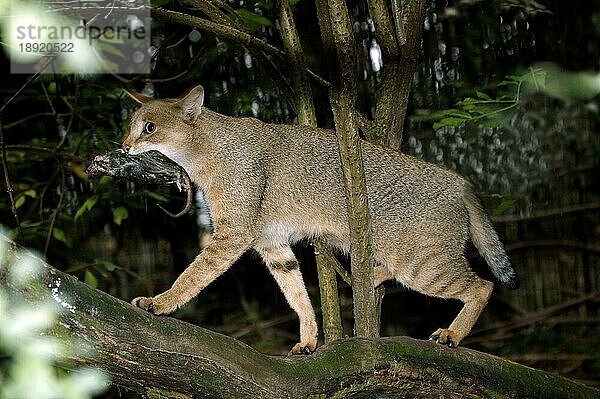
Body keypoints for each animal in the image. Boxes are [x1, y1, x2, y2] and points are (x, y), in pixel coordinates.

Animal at [124, 86, 516, 354]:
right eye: (131, 126)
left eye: (150, 128)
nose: (125, 146)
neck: (210, 152)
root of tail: (461, 182)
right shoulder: (272, 244)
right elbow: (297, 295)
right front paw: (310, 338)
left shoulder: (234, 233)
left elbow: (193, 275)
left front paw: (161, 301)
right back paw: (368, 276)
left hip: (423, 265)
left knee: (483, 286)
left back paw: (453, 333)